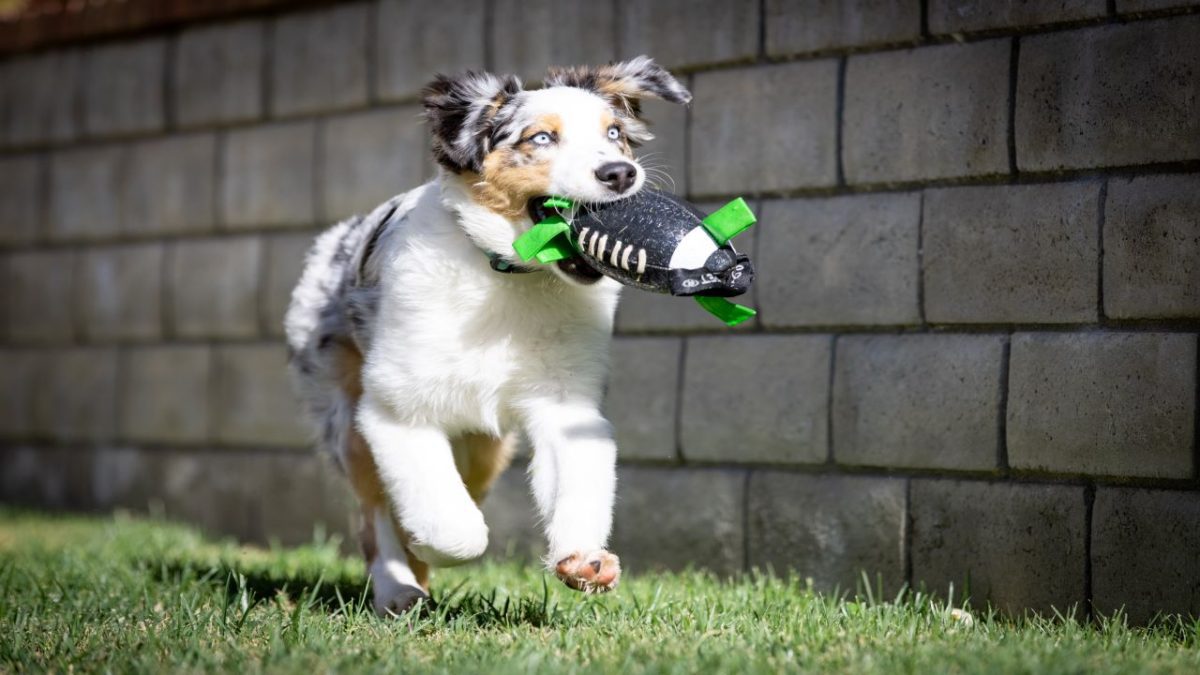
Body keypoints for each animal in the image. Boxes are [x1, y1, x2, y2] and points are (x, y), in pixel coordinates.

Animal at [284, 55, 691, 612]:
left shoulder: (566, 404)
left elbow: (581, 478)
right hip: (346, 418)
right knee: (373, 515)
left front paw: (584, 559)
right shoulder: (395, 410)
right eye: (541, 138)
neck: (509, 276)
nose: (621, 173)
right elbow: (453, 526)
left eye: (614, 133)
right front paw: (423, 544)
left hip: (483, 448)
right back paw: (398, 589)